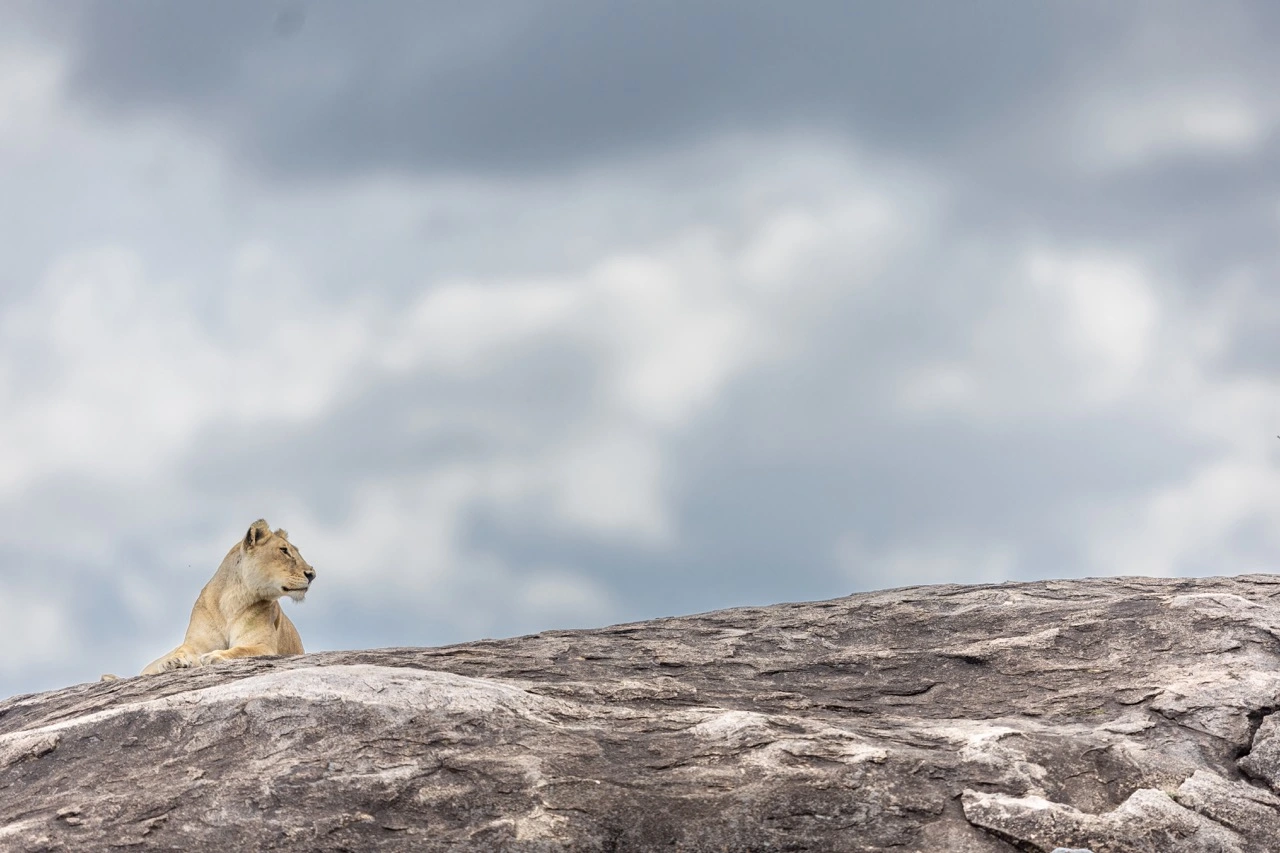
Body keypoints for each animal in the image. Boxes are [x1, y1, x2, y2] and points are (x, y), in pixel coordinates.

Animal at [138, 514, 317, 676]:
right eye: (284, 550)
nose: (312, 575)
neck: (231, 600)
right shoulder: (196, 643)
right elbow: (183, 649)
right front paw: (172, 661)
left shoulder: (263, 645)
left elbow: (240, 650)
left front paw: (214, 656)